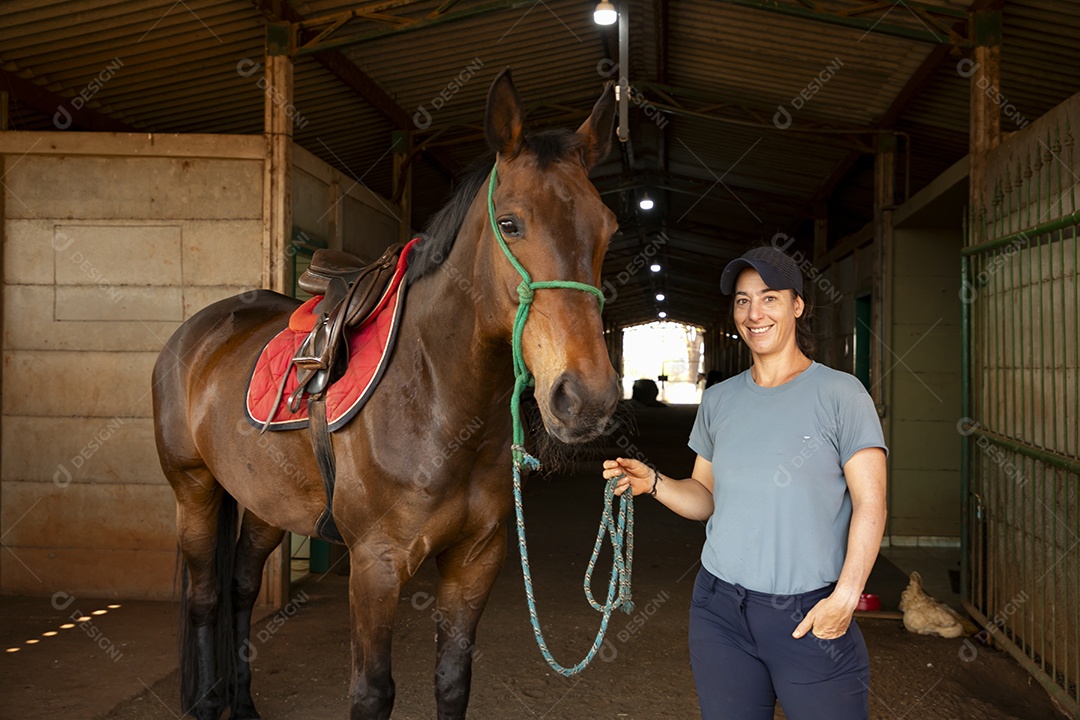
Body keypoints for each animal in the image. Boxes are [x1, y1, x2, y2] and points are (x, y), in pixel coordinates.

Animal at [151, 68, 621, 720]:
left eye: (608, 229)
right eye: (511, 223)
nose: (586, 398)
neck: (437, 397)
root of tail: (195, 333)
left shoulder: (476, 558)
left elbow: (452, 681)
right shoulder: (376, 564)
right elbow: (372, 693)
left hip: (266, 499)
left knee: (241, 587)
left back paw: (241, 703)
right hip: (192, 488)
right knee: (204, 598)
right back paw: (205, 703)